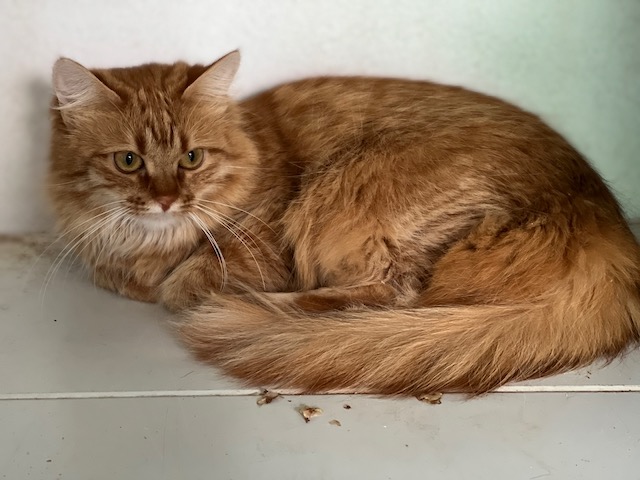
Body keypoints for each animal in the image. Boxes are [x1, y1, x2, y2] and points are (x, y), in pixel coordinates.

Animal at [48, 50, 640, 395]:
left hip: (350, 193)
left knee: (394, 295)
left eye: (192, 159)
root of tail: (607, 226)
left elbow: (181, 282)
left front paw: (178, 284)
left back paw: (272, 312)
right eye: (129, 161)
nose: (168, 200)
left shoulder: (257, 248)